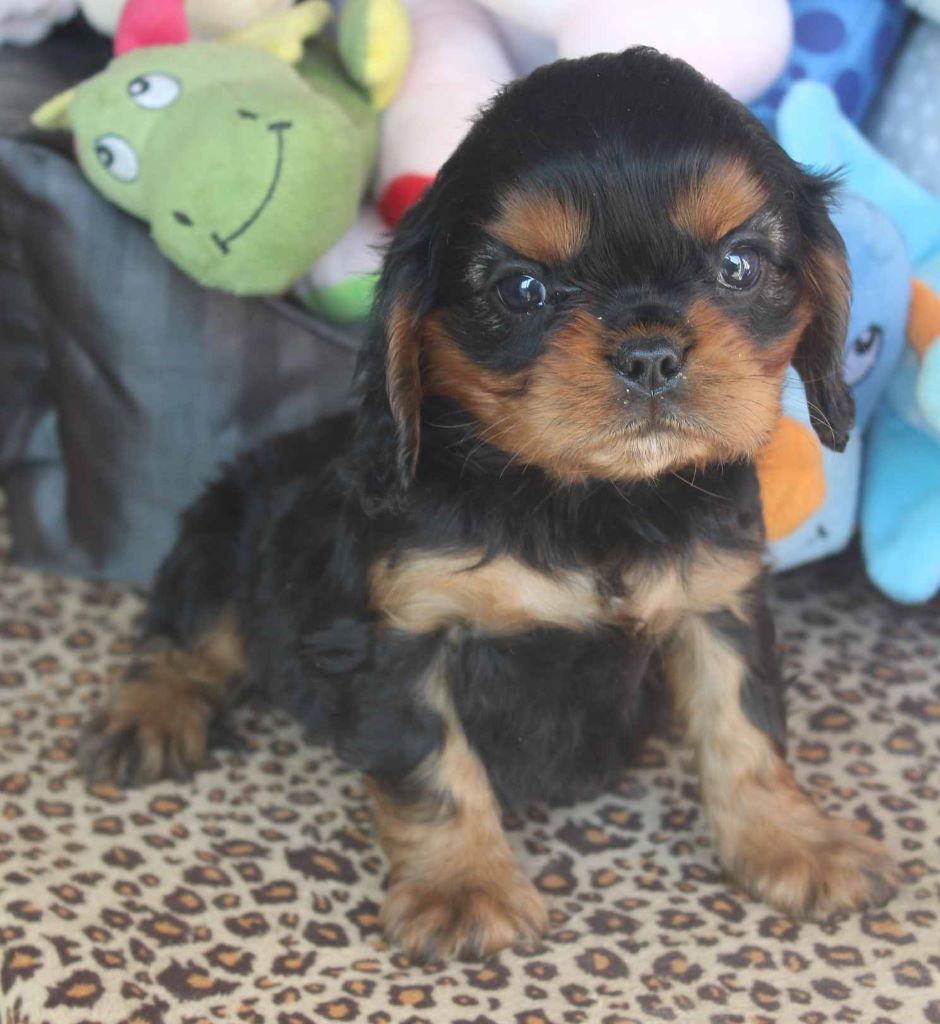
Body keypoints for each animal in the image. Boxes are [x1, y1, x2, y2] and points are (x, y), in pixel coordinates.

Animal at [80, 46, 900, 962]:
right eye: (522, 290)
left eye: (740, 267)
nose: (650, 352)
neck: (585, 497)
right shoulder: (401, 629)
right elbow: (434, 767)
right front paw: (463, 887)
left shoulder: (717, 598)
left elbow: (746, 729)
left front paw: (793, 842)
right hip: (223, 533)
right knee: (187, 636)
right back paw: (148, 715)